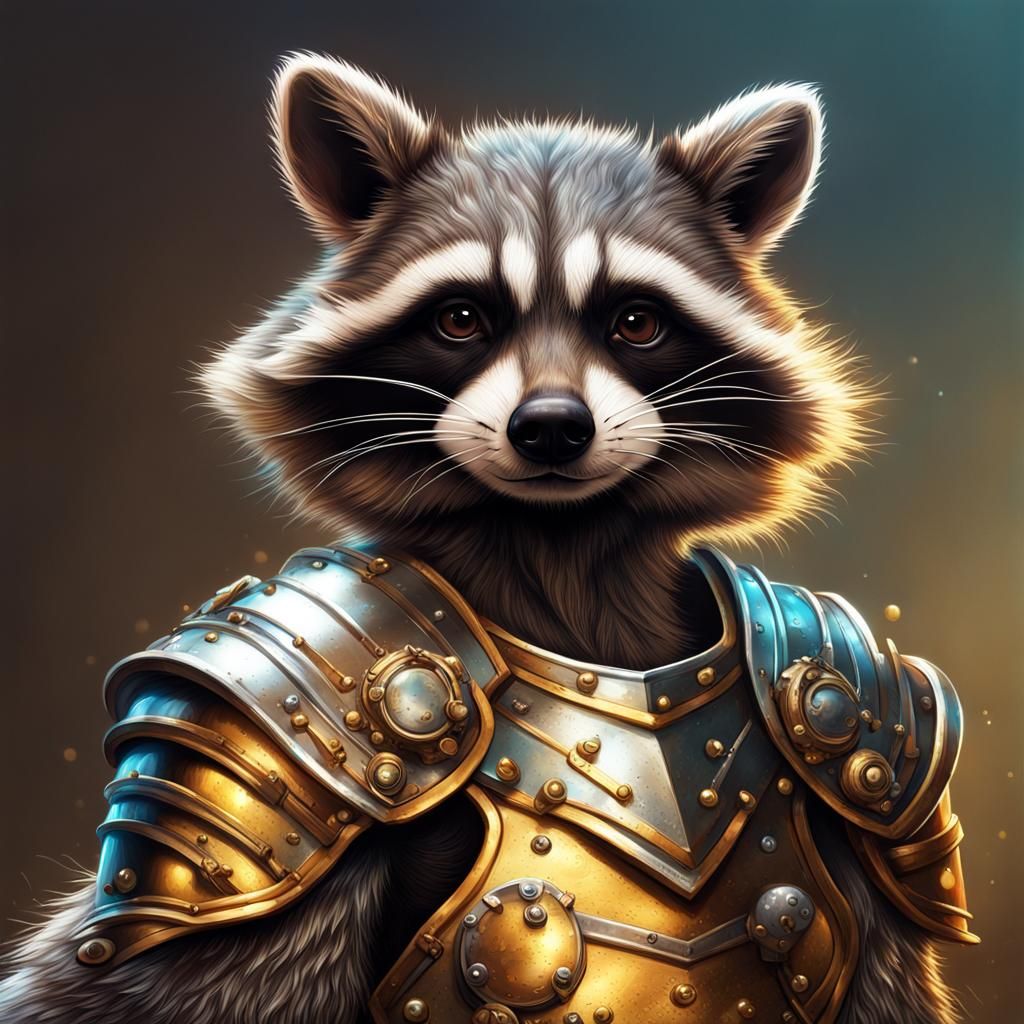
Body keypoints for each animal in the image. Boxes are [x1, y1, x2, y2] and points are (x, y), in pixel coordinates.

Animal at [0, 55, 965, 1024]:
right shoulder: (258, 741)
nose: (551, 429)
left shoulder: (869, 751)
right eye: (461, 318)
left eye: (636, 322)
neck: (561, 558)